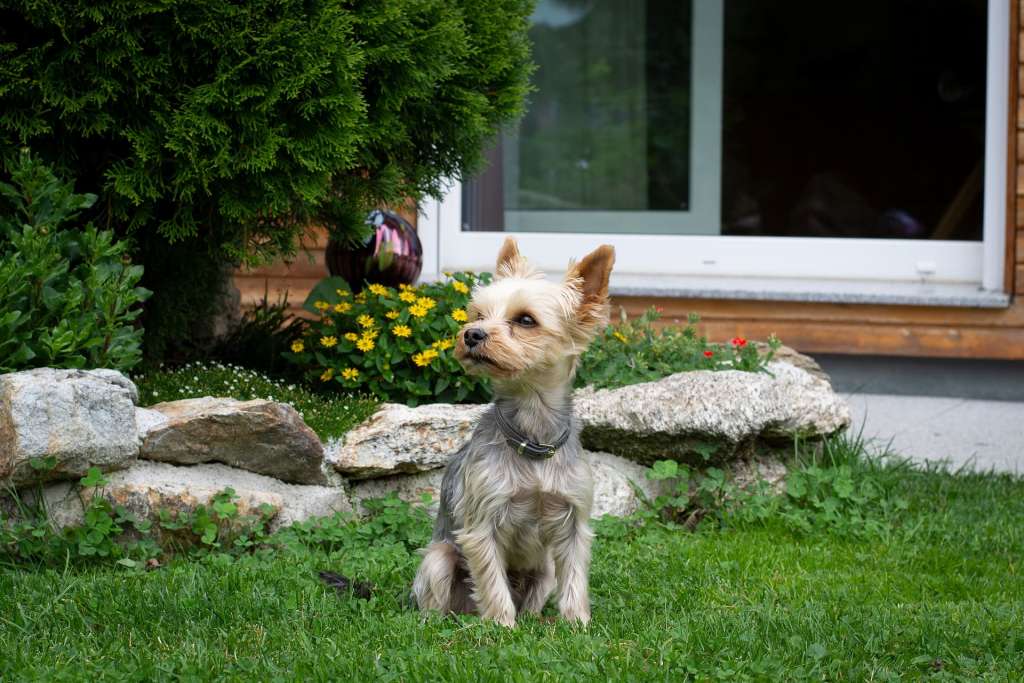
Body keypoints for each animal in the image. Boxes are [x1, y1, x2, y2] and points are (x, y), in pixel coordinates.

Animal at [409, 237, 614, 626]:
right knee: (435, 599)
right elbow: (491, 580)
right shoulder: (481, 522)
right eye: (477, 314)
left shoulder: (573, 520)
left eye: (525, 320)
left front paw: (577, 622)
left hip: (544, 570)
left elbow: (575, 576)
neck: (532, 438)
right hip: (438, 559)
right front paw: (502, 625)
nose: (472, 334)